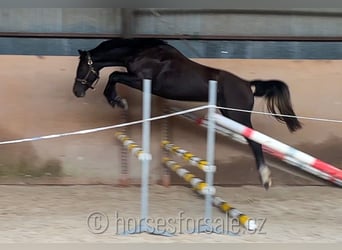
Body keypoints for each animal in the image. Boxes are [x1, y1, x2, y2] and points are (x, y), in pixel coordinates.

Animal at [73, 37, 302, 189]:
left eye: (81, 68)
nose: (77, 91)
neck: (144, 53)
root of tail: (247, 84)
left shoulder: (142, 80)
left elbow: (114, 75)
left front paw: (117, 100)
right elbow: (114, 76)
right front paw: (117, 101)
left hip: (238, 116)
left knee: (254, 141)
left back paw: (265, 178)